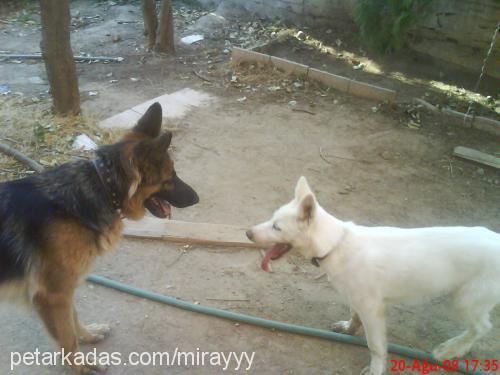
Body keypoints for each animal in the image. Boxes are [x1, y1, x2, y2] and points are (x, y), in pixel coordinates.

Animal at [0, 102, 199, 374]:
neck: (104, 187)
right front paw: (80, 366)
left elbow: (73, 319)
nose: (197, 198)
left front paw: (87, 335)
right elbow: (67, 337)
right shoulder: (53, 294)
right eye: (170, 178)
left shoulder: (65, 288)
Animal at [246, 177, 500, 375]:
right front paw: (349, 329)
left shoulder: (373, 309)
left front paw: (376, 368)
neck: (335, 244)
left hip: (465, 301)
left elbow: (375, 346)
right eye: (271, 220)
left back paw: (451, 349)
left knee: (483, 327)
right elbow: (354, 316)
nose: (247, 233)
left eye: (277, 227)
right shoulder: (359, 300)